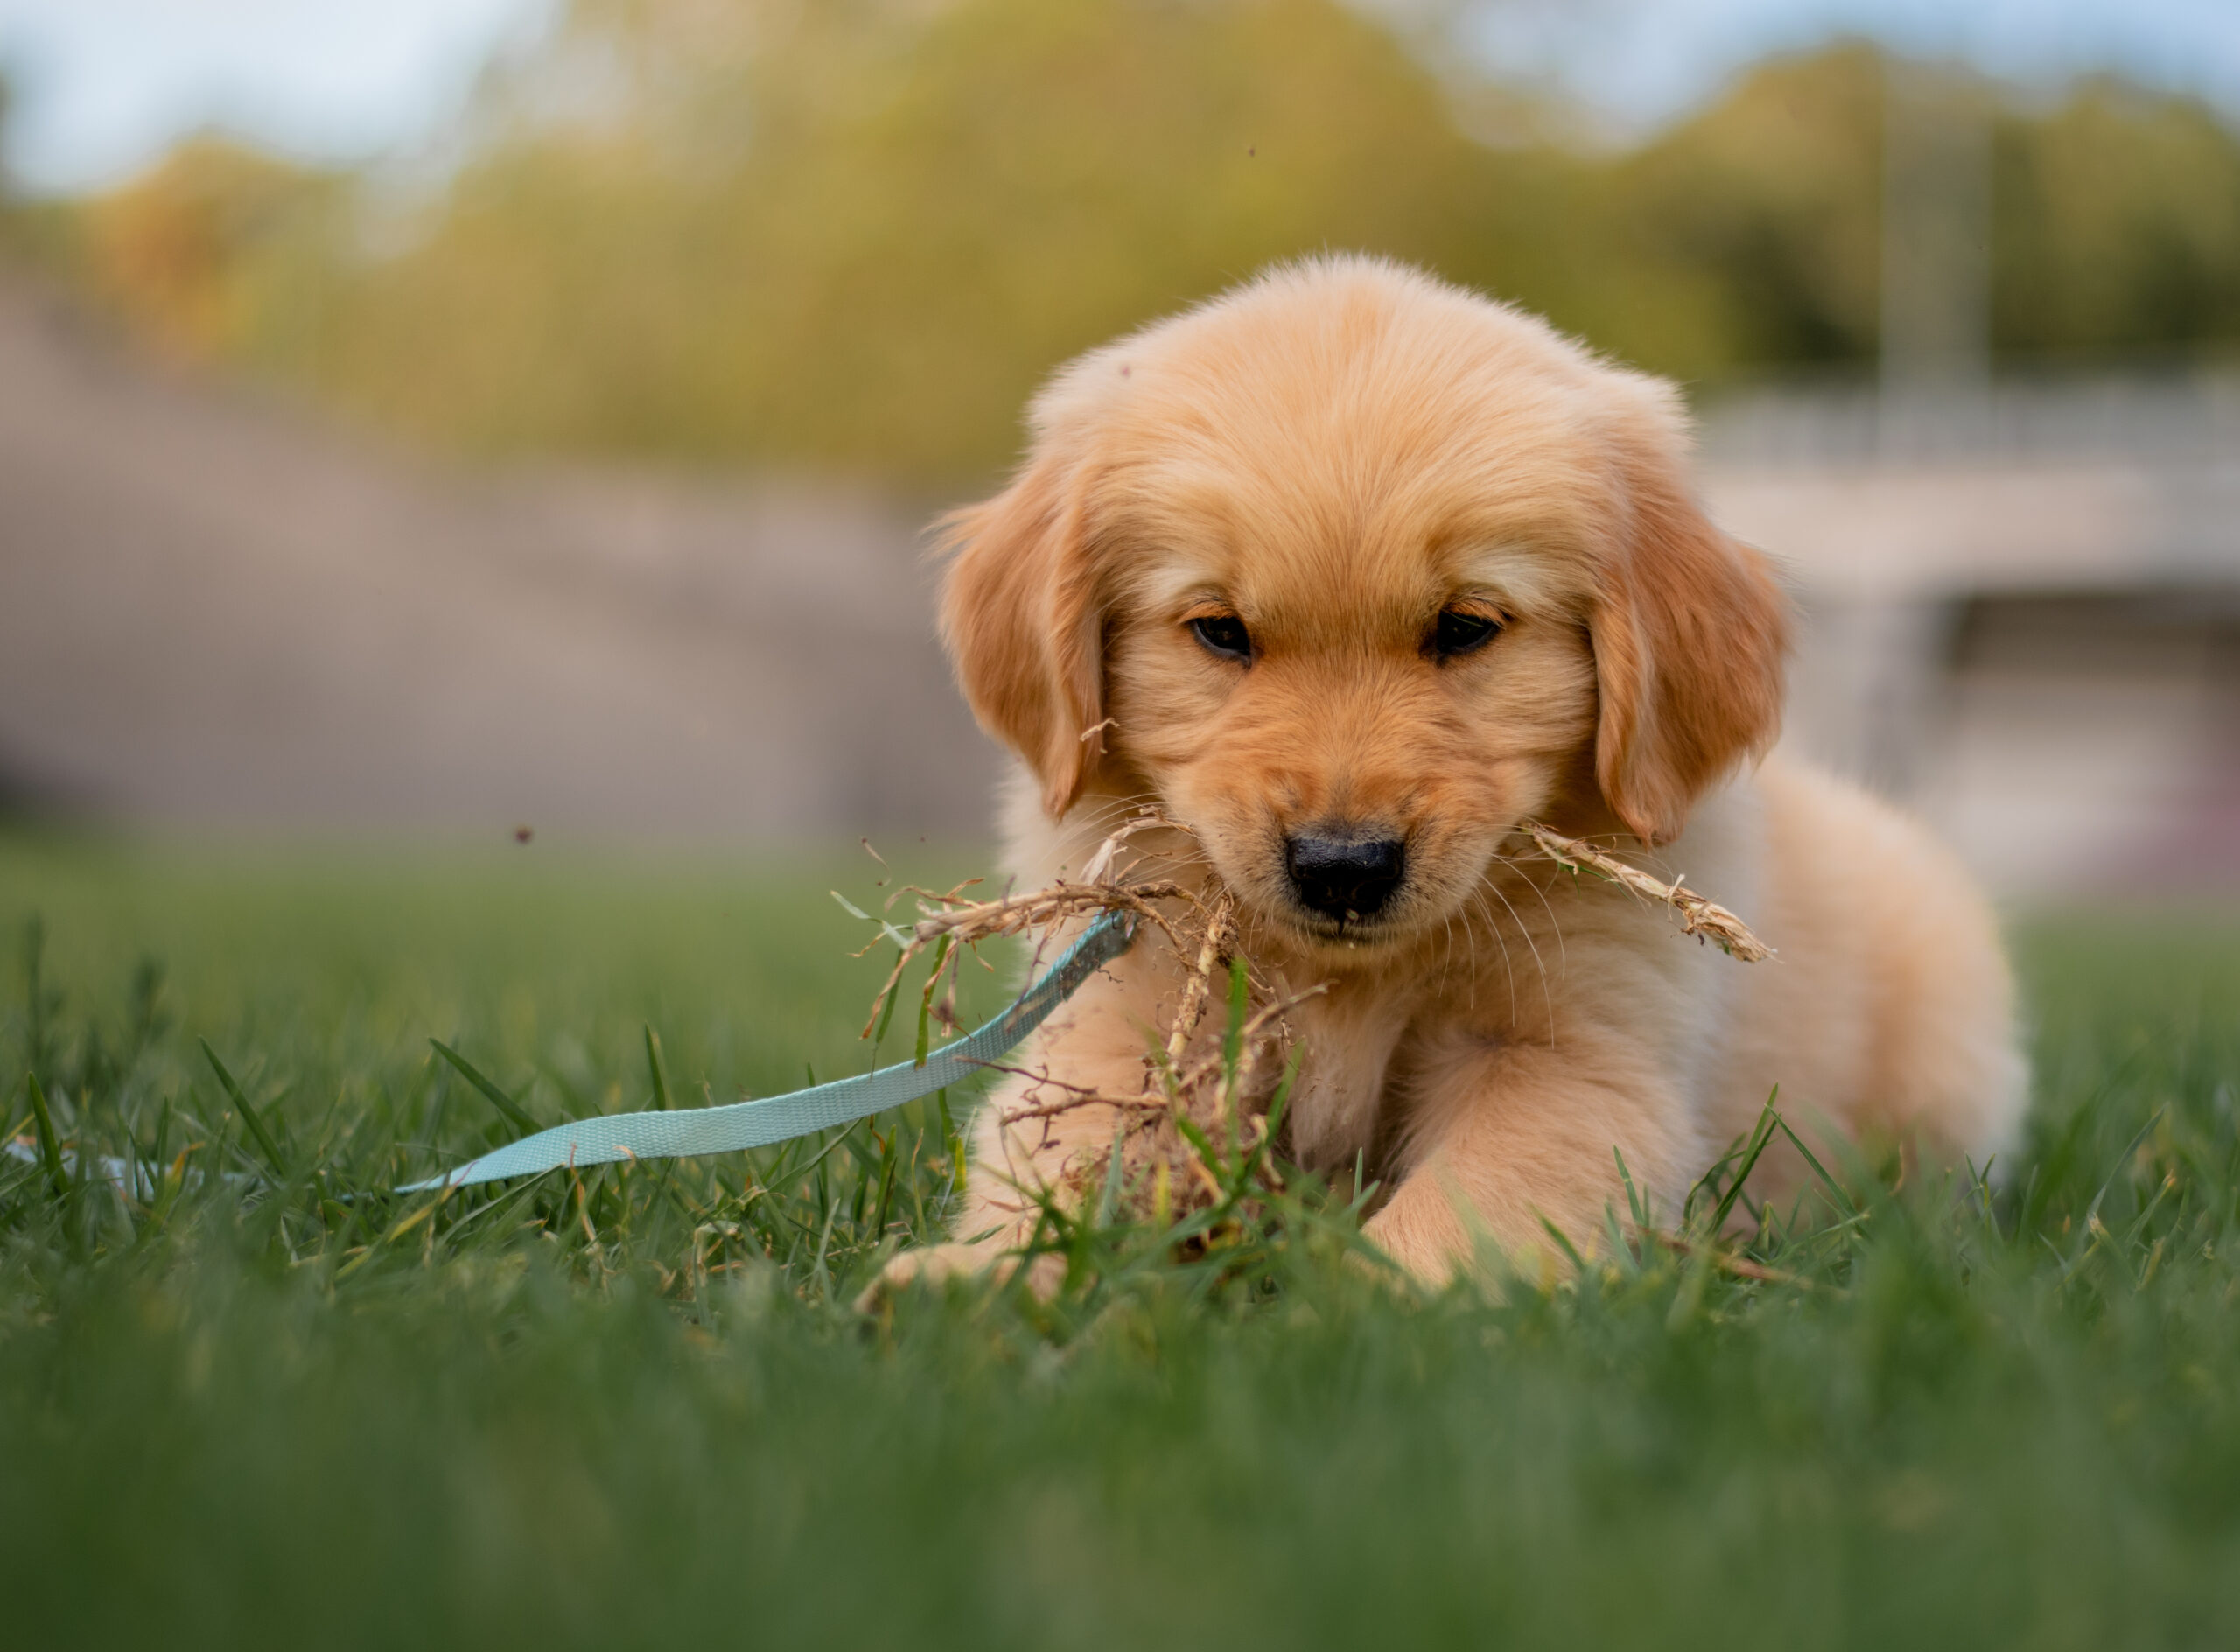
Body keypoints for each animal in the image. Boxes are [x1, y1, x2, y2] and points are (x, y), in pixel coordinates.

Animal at [878, 257, 2034, 1289]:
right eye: (1219, 631)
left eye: (1465, 627)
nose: (1342, 867)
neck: (1353, 981)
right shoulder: (1128, 1016)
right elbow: (1066, 1157)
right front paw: (971, 1281)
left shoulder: (1572, 1057)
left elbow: (1464, 1208)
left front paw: (1362, 1311)